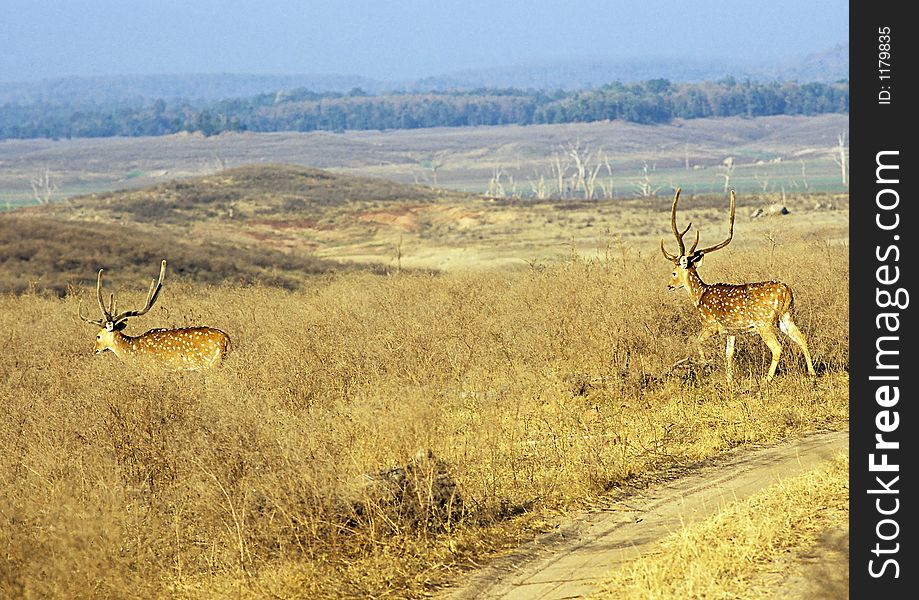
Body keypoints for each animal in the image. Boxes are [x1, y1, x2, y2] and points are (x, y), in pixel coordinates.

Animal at [660, 190, 820, 382]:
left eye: (673, 273)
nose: (669, 286)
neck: (699, 296)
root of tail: (787, 291)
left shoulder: (710, 324)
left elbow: (696, 341)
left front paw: (706, 364)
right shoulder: (731, 331)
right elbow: (729, 354)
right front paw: (729, 380)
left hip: (764, 322)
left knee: (777, 347)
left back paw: (767, 379)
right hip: (786, 316)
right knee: (802, 337)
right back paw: (812, 373)